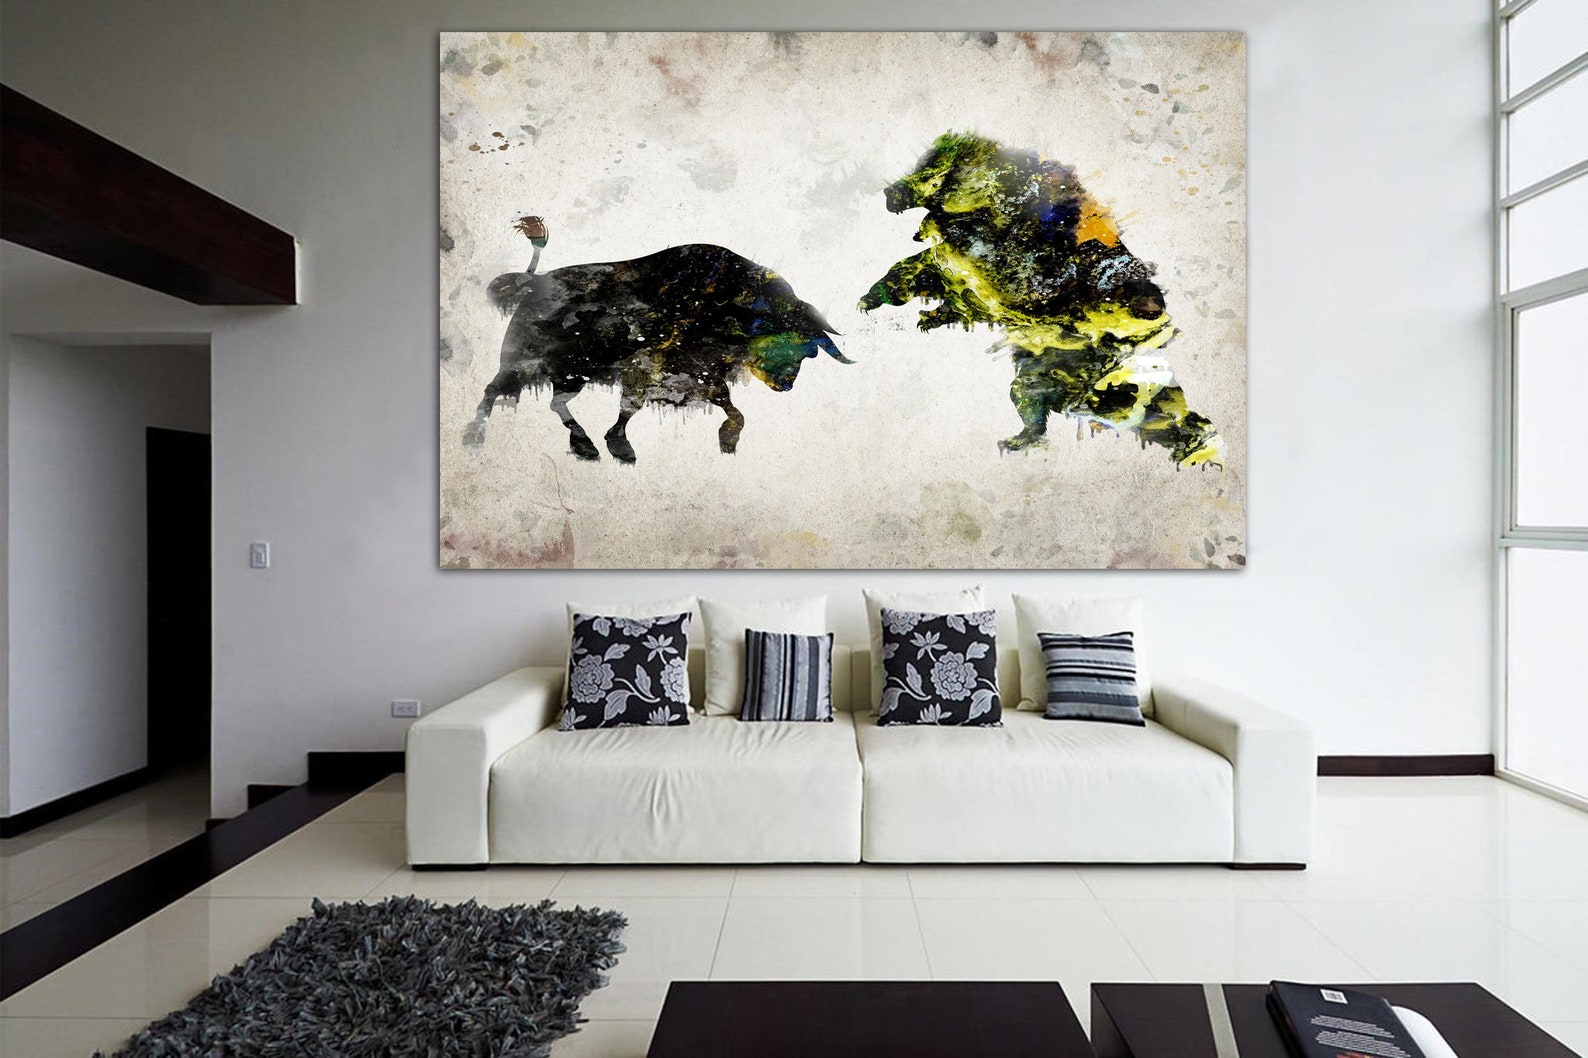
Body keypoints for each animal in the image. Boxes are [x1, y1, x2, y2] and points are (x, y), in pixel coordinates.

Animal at [463, 217, 849, 463]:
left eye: (811, 353)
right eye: (797, 344)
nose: (786, 385)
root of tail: (534, 282)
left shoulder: (703, 375)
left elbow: (732, 409)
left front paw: (728, 441)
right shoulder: (648, 369)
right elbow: (630, 406)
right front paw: (622, 449)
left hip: (572, 374)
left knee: (554, 403)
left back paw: (585, 446)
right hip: (528, 365)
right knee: (493, 390)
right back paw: (474, 437)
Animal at [858, 132, 1222, 468]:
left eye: (930, 168)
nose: (890, 194)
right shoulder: (953, 267)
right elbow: (910, 275)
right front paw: (886, 303)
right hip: (1040, 377)